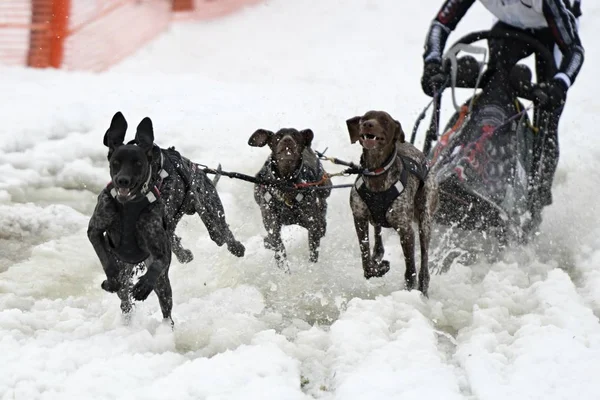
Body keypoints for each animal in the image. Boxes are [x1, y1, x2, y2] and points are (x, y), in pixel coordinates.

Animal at [344, 111, 438, 296]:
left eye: (385, 121)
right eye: (365, 117)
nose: (367, 124)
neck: (377, 173)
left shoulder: (406, 230)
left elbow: (411, 270)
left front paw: (409, 292)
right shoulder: (359, 218)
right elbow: (366, 261)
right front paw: (378, 268)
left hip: (425, 221)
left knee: (424, 264)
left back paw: (423, 289)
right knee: (377, 234)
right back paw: (378, 255)